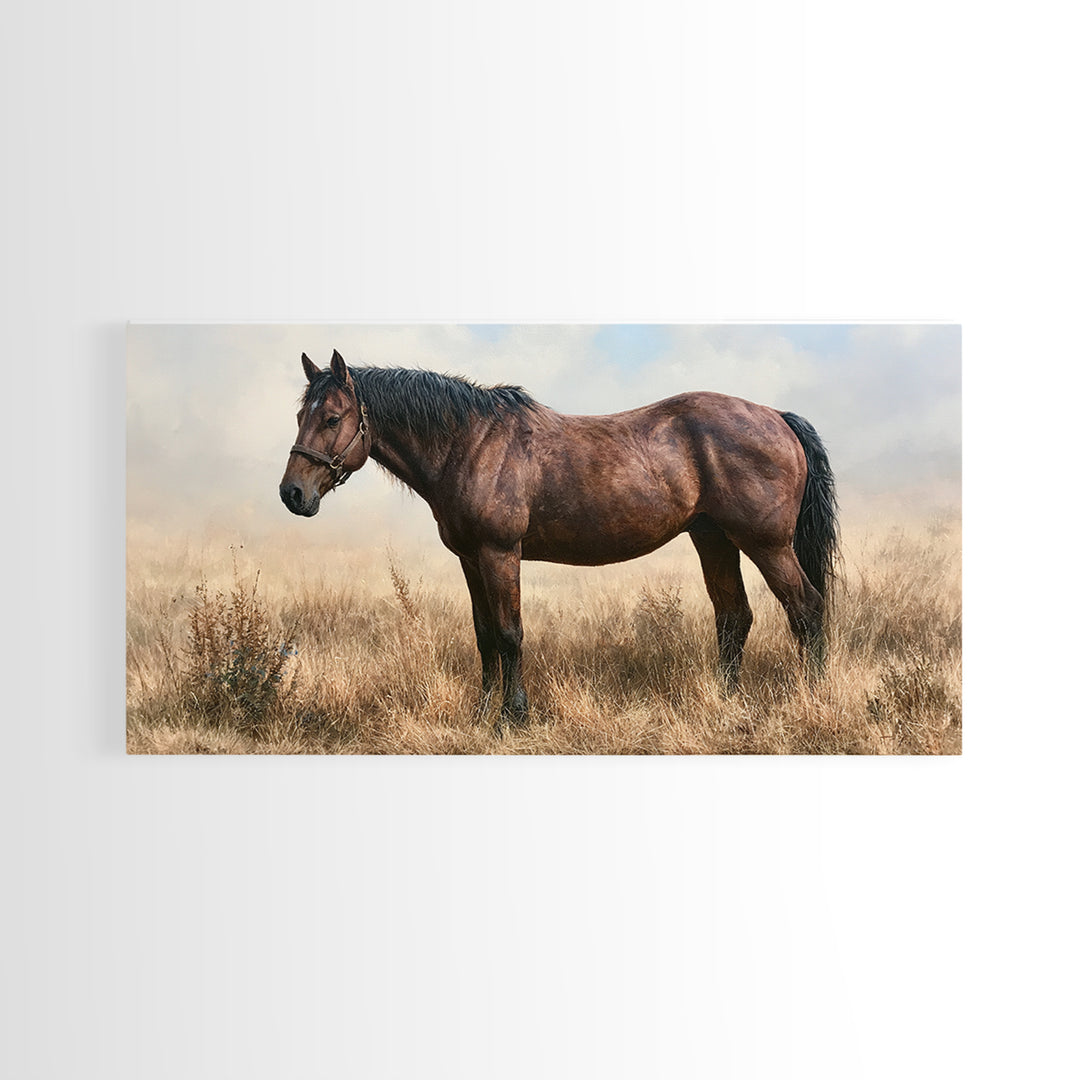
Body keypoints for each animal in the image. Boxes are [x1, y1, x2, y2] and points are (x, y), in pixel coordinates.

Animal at [280, 350, 839, 728]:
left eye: (332, 418)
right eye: (300, 415)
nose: (292, 493)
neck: (470, 443)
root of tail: (777, 417)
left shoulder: (500, 554)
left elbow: (510, 634)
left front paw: (514, 717)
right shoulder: (470, 559)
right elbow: (485, 636)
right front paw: (482, 713)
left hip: (766, 544)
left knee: (806, 609)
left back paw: (810, 697)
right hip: (714, 539)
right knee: (734, 618)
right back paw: (725, 700)